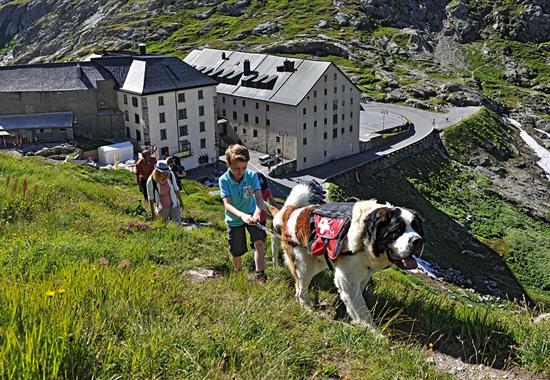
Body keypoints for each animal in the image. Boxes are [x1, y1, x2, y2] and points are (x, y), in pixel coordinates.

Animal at [270, 183, 424, 326]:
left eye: (417, 229)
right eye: (396, 231)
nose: (418, 241)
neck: (365, 237)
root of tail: (292, 212)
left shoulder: (363, 276)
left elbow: (352, 301)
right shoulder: (348, 278)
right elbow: (361, 307)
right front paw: (372, 331)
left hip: (317, 261)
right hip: (303, 264)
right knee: (301, 288)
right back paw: (307, 308)